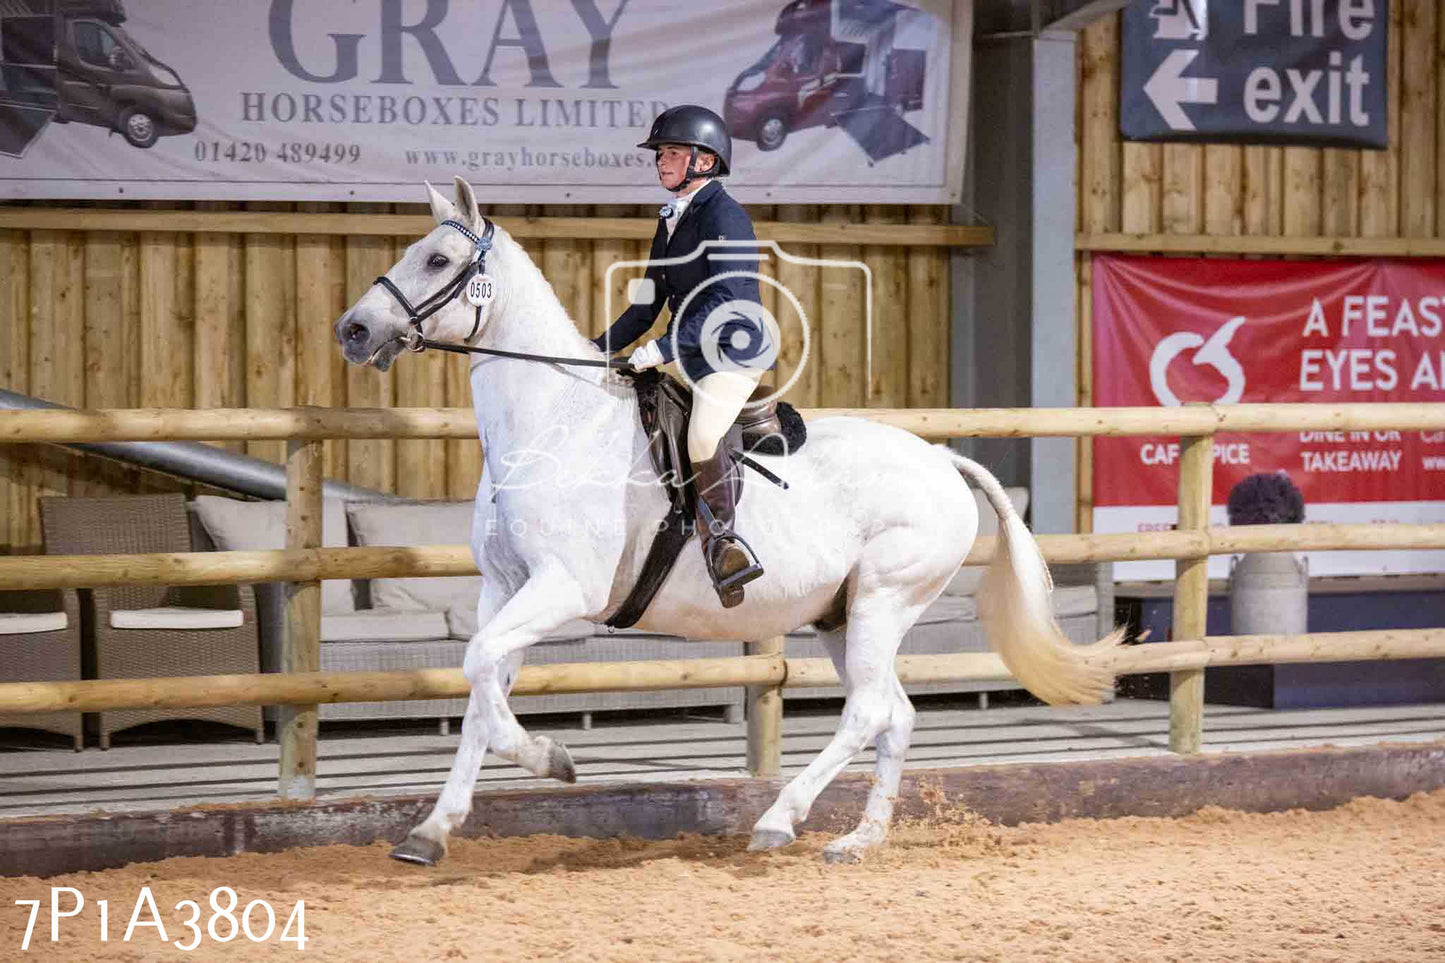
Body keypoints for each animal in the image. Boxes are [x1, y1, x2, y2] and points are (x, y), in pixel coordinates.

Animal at [338, 177, 1127, 861]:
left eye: (437, 259)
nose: (353, 329)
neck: (555, 421)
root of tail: (940, 459)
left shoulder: (562, 587)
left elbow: (479, 669)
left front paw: (551, 758)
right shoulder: (503, 589)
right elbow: (480, 686)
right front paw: (431, 831)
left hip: (884, 598)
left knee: (868, 711)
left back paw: (779, 819)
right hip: (844, 615)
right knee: (893, 713)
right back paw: (859, 839)